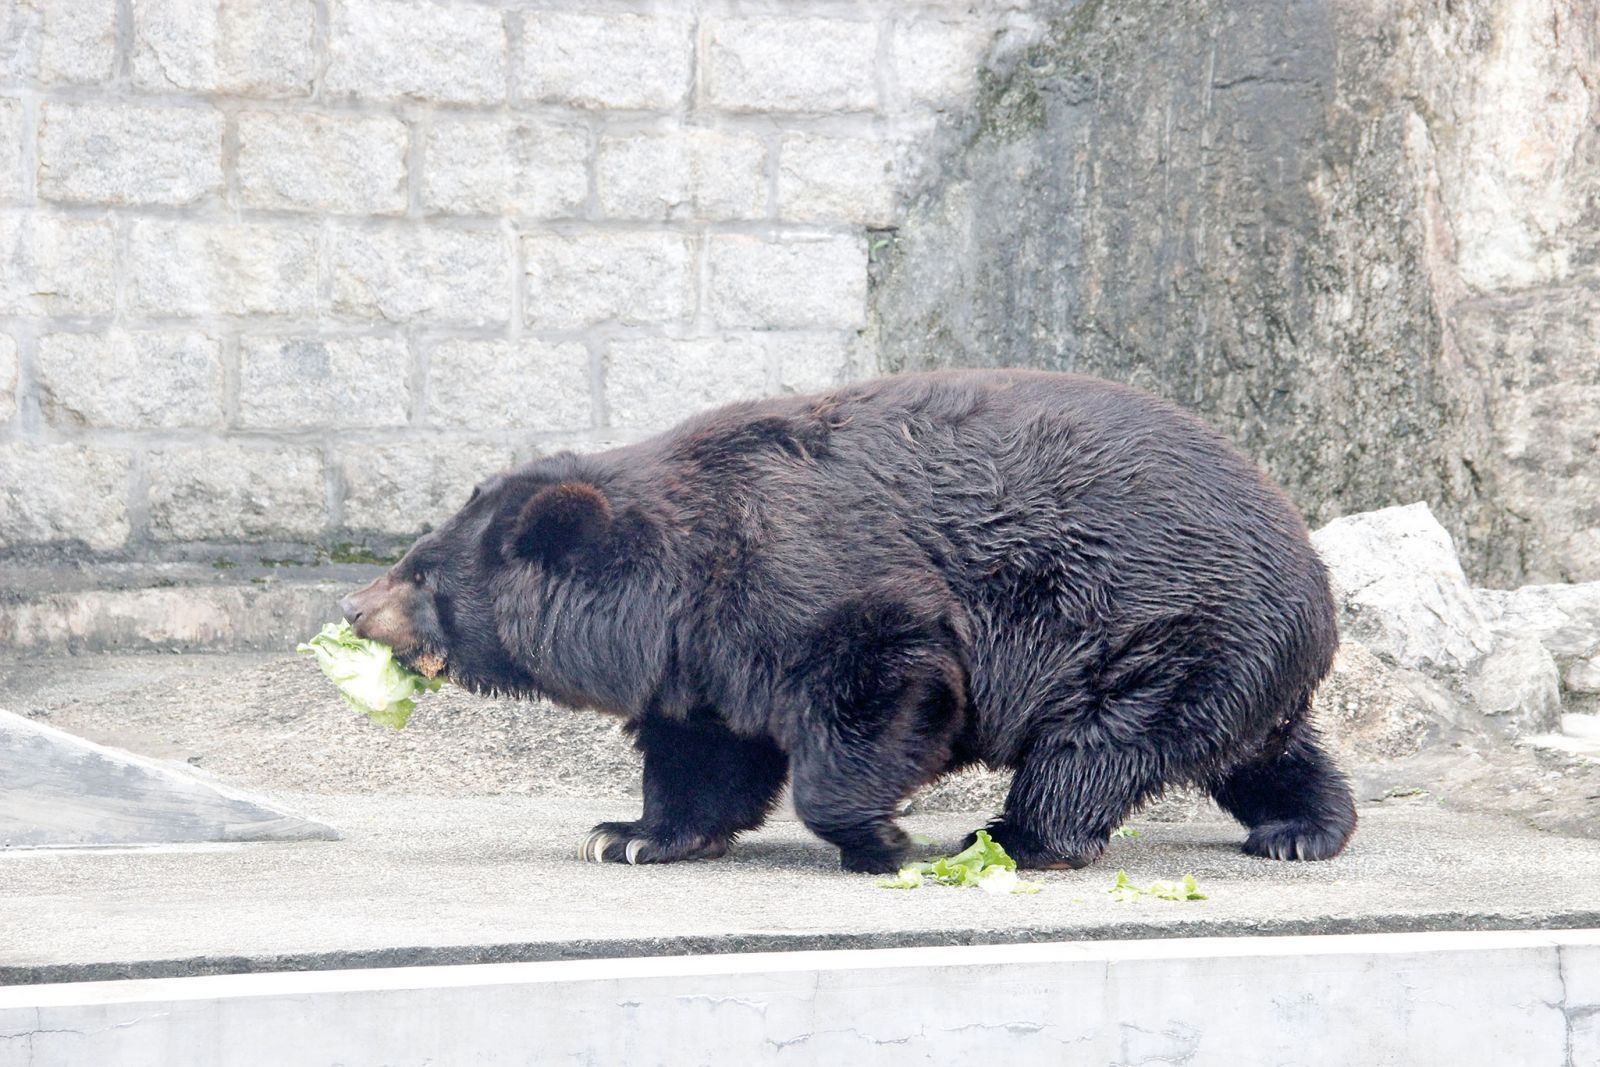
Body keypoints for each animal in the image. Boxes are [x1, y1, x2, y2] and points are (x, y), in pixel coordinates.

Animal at [344, 371, 1356, 870]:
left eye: (423, 574)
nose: (352, 608)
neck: (676, 587)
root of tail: (1311, 567)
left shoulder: (808, 586)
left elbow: (886, 680)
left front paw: (880, 838)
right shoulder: (699, 656)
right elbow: (705, 749)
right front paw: (628, 833)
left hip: (1156, 626)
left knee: (1095, 746)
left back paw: (1017, 837)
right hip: (1229, 657)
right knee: (1256, 746)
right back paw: (1303, 824)